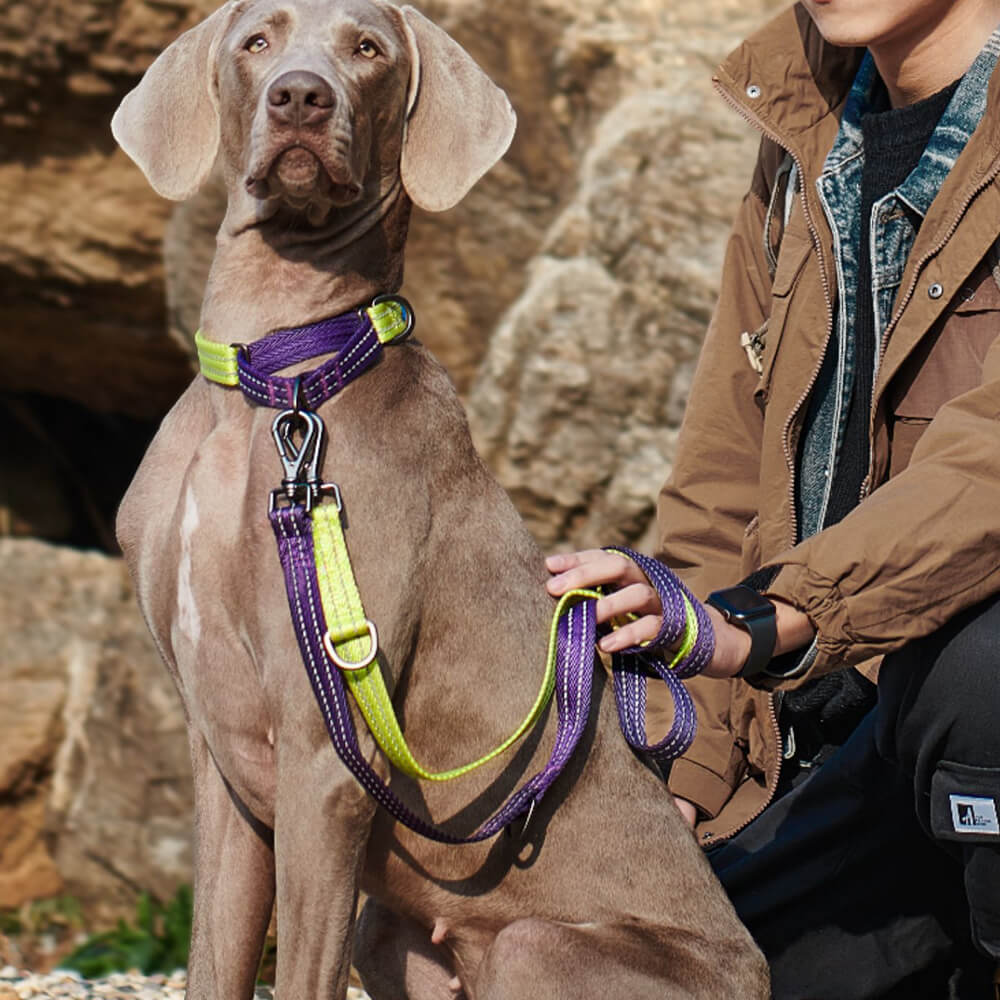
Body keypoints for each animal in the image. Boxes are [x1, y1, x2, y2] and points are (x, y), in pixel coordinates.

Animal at [111, 0, 764, 996]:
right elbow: (214, 964)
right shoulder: (223, 764)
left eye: (368, 49)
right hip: (395, 936)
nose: (300, 97)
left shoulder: (324, 757)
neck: (274, 378)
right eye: (258, 40)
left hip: (539, 946)